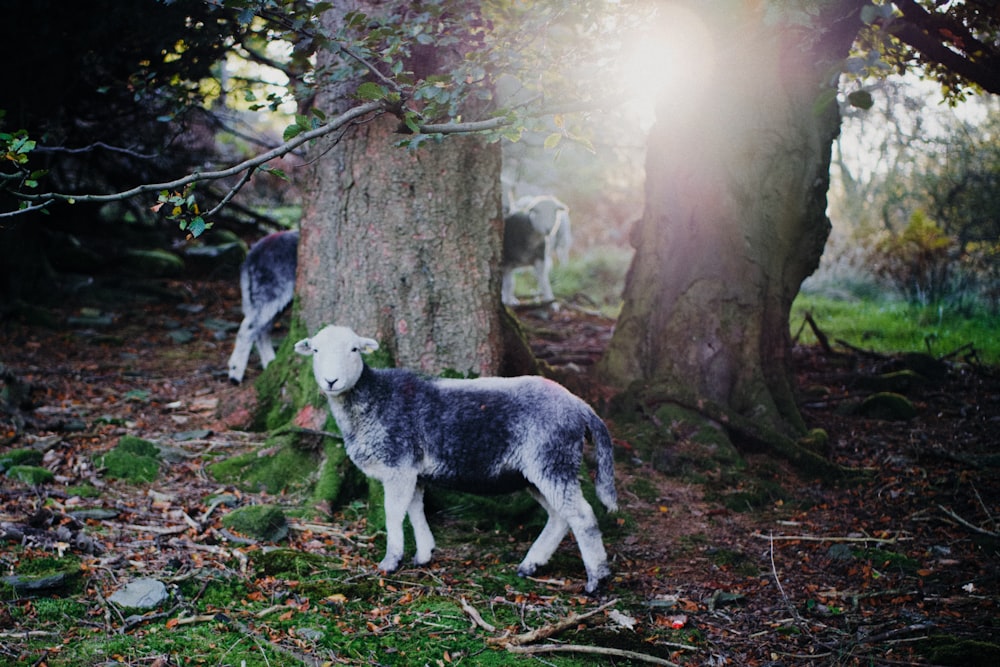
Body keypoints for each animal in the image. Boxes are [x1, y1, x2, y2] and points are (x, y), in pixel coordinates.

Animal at [228, 231, 298, 384]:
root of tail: (254, 253)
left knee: (262, 331)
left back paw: (270, 363)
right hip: (272, 290)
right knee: (248, 329)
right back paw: (235, 373)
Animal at [292, 326, 616, 592]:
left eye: (354, 349)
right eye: (316, 350)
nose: (331, 380)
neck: (372, 398)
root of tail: (580, 406)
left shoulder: (398, 464)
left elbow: (393, 513)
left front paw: (391, 561)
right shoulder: (413, 471)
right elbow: (415, 510)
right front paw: (424, 554)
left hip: (553, 457)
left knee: (582, 517)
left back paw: (596, 578)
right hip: (535, 469)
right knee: (560, 516)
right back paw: (531, 564)